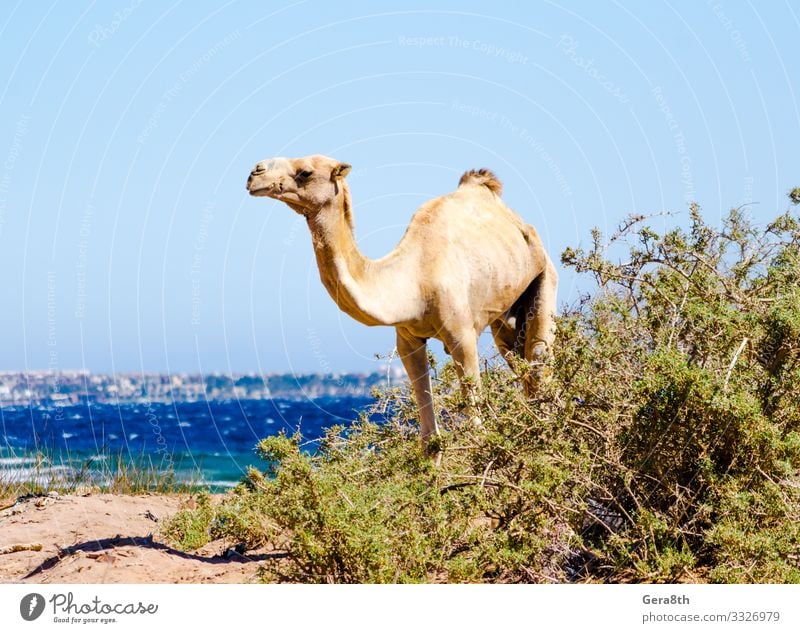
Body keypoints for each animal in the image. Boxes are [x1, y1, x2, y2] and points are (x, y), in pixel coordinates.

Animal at [247, 154, 560, 440]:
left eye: (305, 172)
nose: (255, 173)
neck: (414, 281)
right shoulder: (408, 339)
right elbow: (430, 436)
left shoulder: (462, 336)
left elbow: (476, 425)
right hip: (505, 317)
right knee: (520, 362)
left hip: (545, 276)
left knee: (538, 360)